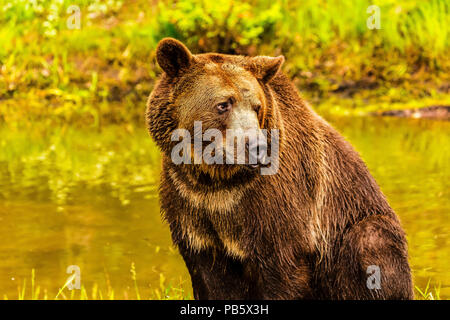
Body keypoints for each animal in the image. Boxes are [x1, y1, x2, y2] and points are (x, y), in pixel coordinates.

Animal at [146, 37, 414, 300]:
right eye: (223, 104)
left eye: (257, 107)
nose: (257, 146)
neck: (217, 179)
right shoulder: (189, 202)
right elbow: (211, 277)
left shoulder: (277, 206)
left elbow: (283, 268)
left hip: (354, 225)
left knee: (370, 242)